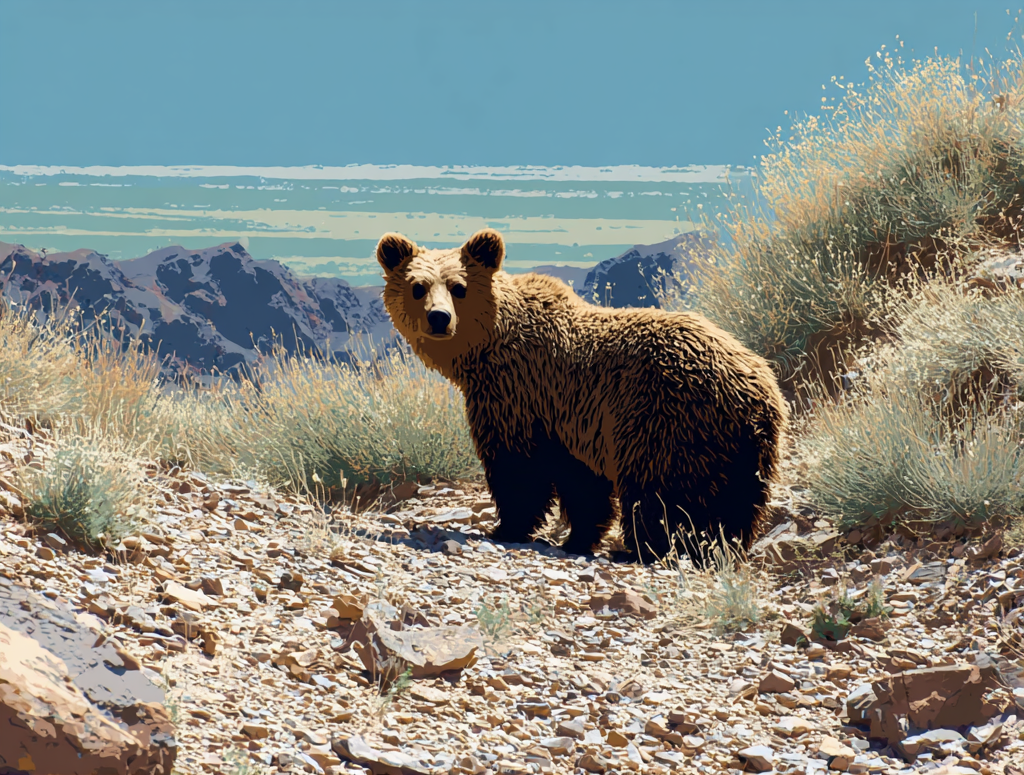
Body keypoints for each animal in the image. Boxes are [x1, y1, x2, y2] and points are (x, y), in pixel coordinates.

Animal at [375, 228, 788, 564]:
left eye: (458, 287)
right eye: (418, 286)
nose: (439, 318)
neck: (490, 347)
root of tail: (759, 388)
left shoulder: (521, 394)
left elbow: (518, 467)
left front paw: (506, 527)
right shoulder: (572, 419)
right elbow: (583, 485)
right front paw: (578, 538)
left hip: (666, 418)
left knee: (658, 492)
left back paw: (644, 548)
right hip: (742, 449)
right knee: (737, 502)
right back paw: (720, 547)